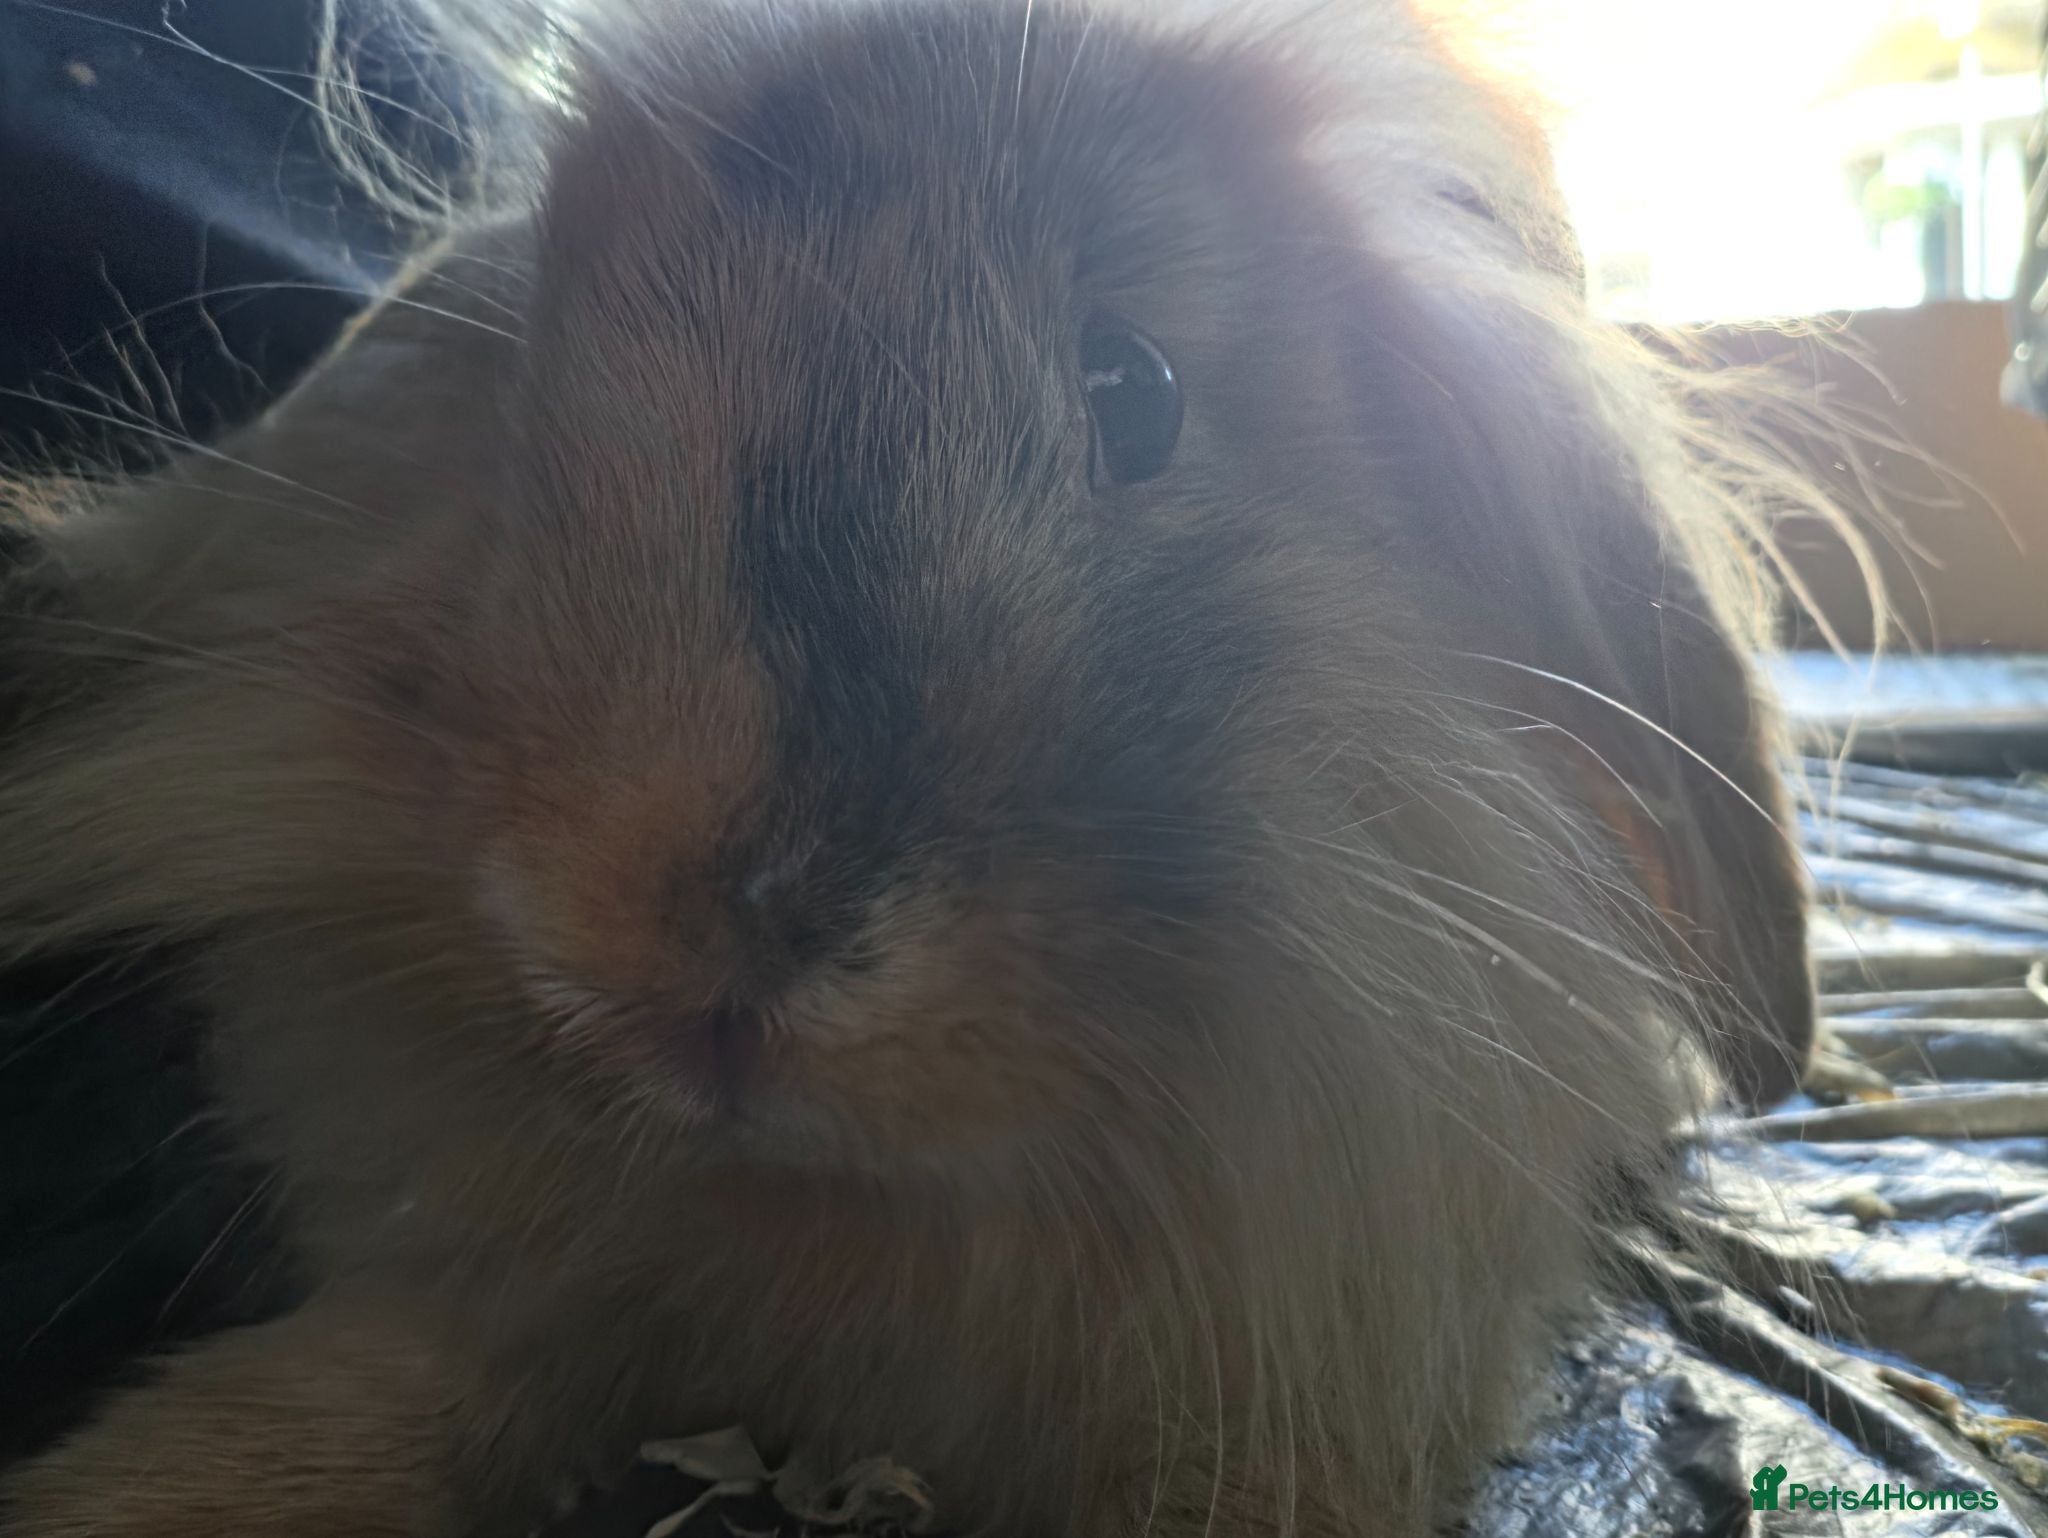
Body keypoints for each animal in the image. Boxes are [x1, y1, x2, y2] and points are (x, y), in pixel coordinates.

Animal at [0, 1, 1818, 1534]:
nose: (684, 940)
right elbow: (337, 1408)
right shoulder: (482, 1300)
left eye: (1135, 388)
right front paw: (110, 1486)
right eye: (529, 379)